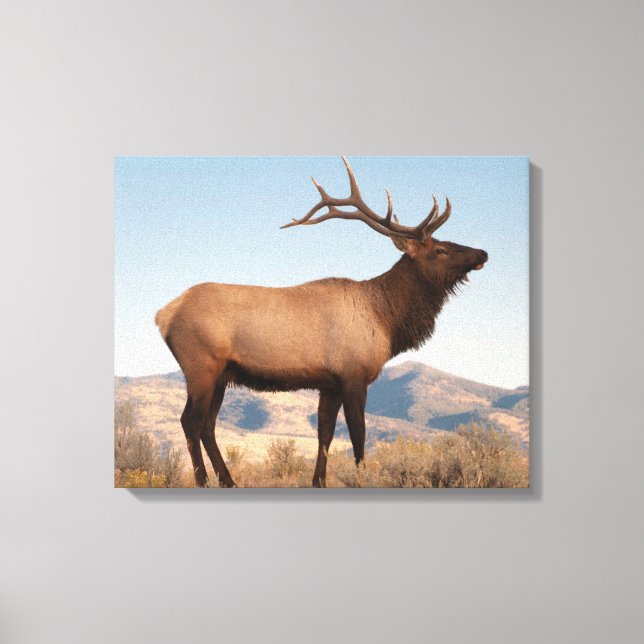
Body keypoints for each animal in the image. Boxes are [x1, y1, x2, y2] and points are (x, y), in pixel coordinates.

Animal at [155, 157, 488, 487]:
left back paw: (229, 481)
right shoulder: (354, 375)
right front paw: (360, 478)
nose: (482, 252)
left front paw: (319, 481)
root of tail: (164, 315)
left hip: (221, 375)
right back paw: (203, 481)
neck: (386, 320)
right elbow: (358, 435)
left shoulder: (330, 384)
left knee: (207, 425)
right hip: (201, 367)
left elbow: (324, 435)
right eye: (441, 249)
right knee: (190, 422)